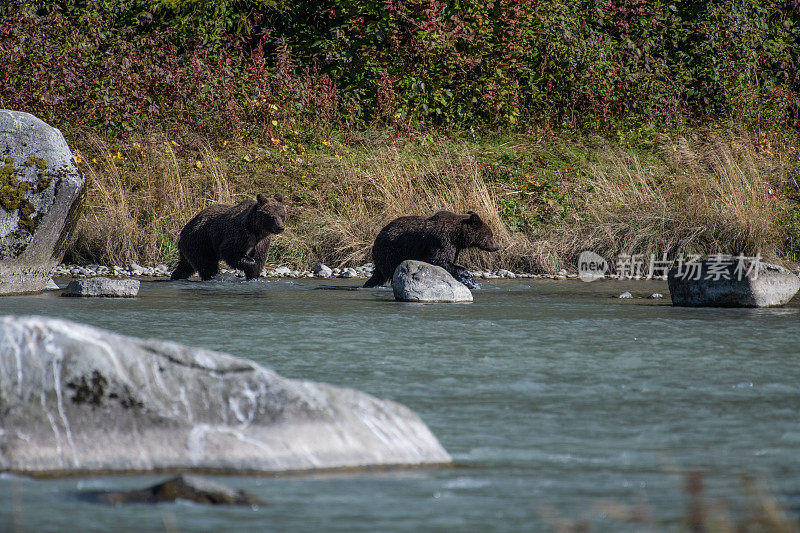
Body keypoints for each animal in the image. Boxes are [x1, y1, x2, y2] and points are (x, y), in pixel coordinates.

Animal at [362, 210, 500, 288]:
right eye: (491, 235)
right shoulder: (442, 241)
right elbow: (439, 260)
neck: (457, 235)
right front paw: (467, 276)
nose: (497, 246)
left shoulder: (455, 247)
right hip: (392, 249)